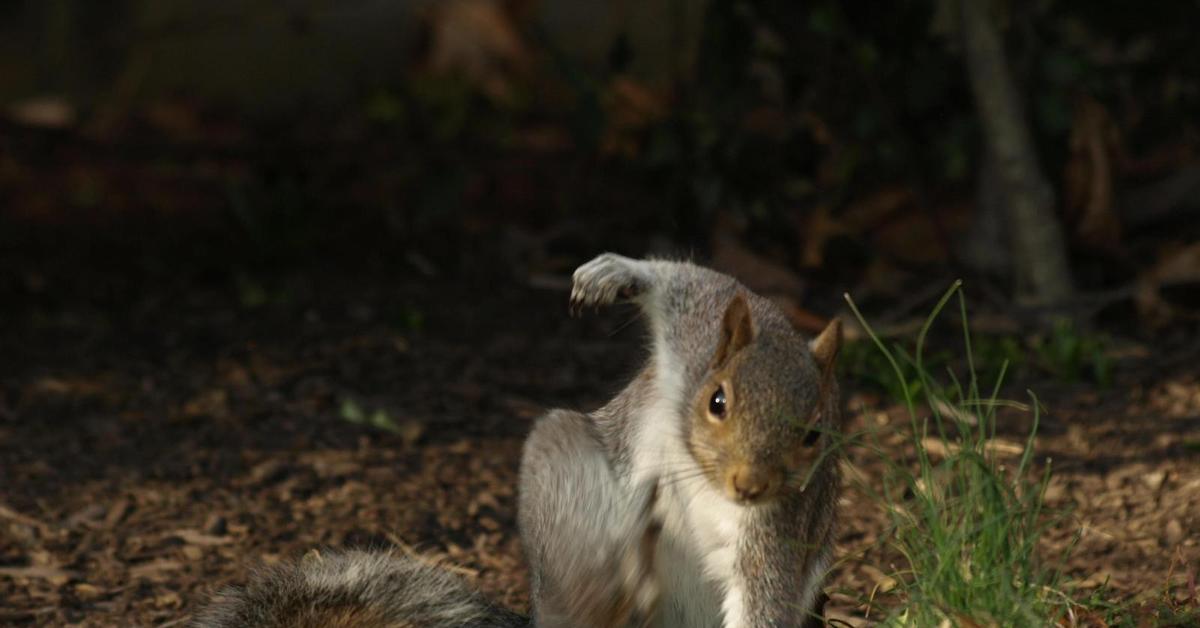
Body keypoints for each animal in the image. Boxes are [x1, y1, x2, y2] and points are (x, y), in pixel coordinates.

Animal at [189, 254, 844, 628]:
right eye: (717, 402)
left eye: (815, 432)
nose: (750, 484)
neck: (707, 479)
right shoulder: (695, 337)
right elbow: (692, 280)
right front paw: (615, 272)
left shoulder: (777, 529)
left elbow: (764, 600)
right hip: (562, 462)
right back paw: (606, 588)